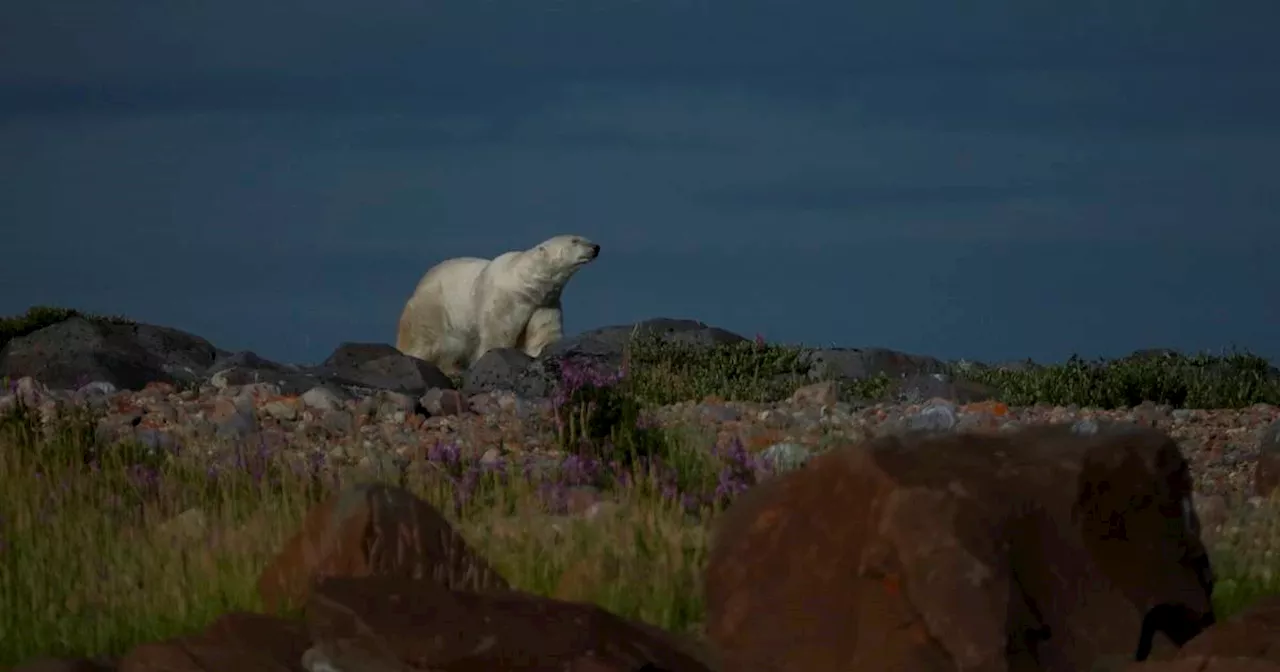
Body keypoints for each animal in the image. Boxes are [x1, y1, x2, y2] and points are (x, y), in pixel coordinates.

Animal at [394, 234, 599, 371]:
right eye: (575, 240)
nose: (596, 247)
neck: (525, 284)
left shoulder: (544, 303)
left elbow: (543, 333)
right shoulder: (505, 299)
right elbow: (498, 333)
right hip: (432, 309)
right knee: (428, 341)